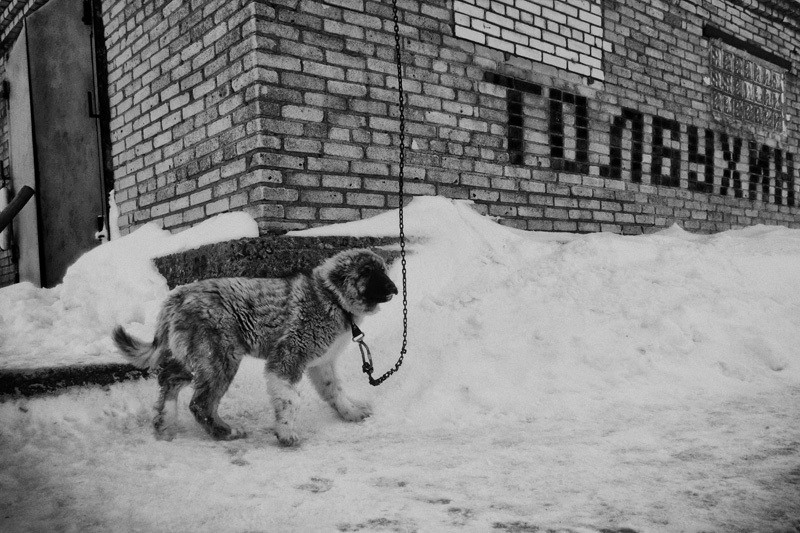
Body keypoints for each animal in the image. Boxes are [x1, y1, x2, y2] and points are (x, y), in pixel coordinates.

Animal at [111, 248, 398, 444]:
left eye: (383, 270)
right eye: (366, 273)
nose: (395, 288)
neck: (332, 298)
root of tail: (176, 296)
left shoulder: (322, 362)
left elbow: (334, 390)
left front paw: (350, 413)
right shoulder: (288, 355)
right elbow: (290, 398)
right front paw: (286, 432)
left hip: (192, 354)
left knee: (170, 380)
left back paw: (165, 424)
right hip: (219, 356)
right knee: (201, 403)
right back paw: (225, 431)